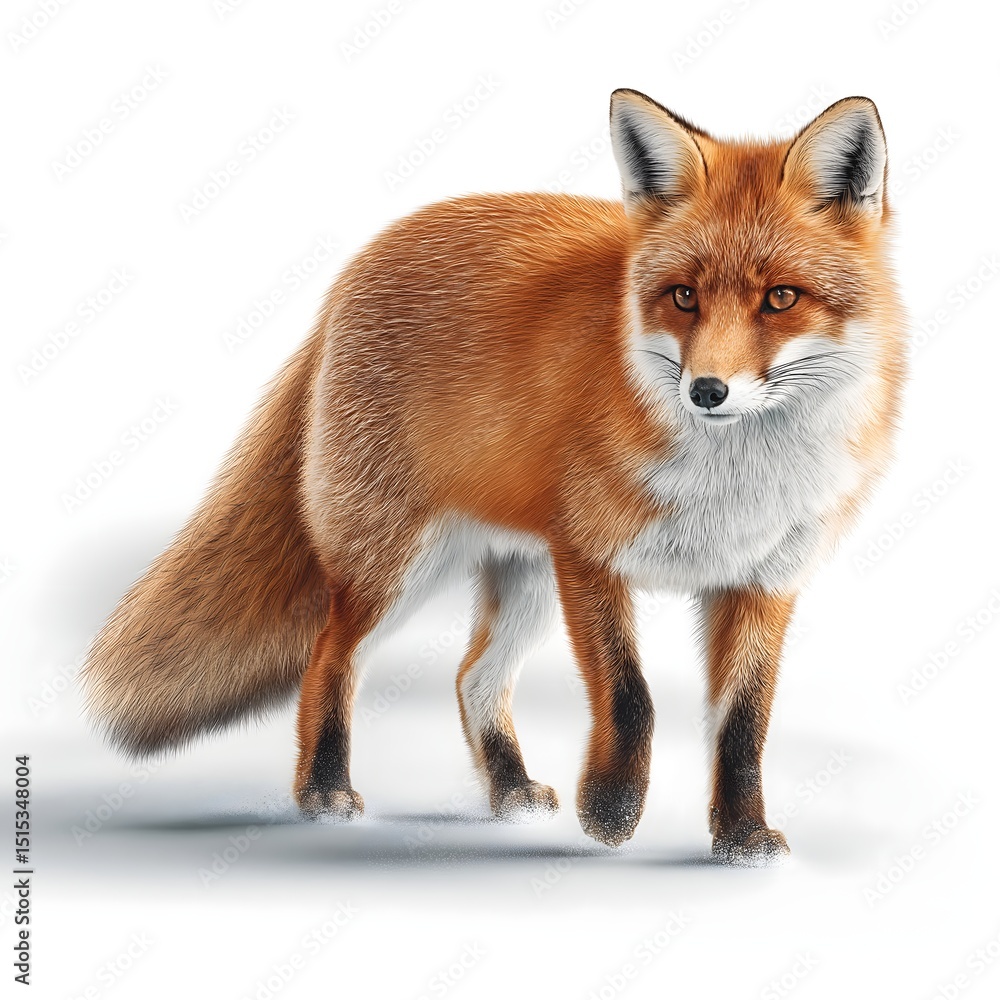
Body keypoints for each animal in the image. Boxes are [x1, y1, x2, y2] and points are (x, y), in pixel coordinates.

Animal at [82, 89, 906, 864]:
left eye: (780, 298)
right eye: (683, 296)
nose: (706, 391)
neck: (735, 480)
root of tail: (360, 265)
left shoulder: (763, 583)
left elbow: (742, 728)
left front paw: (740, 839)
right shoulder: (591, 558)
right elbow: (631, 697)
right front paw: (611, 810)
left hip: (525, 579)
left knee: (472, 676)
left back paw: (507, 789)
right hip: (399, 568)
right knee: (330, 657)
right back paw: (322, 790)